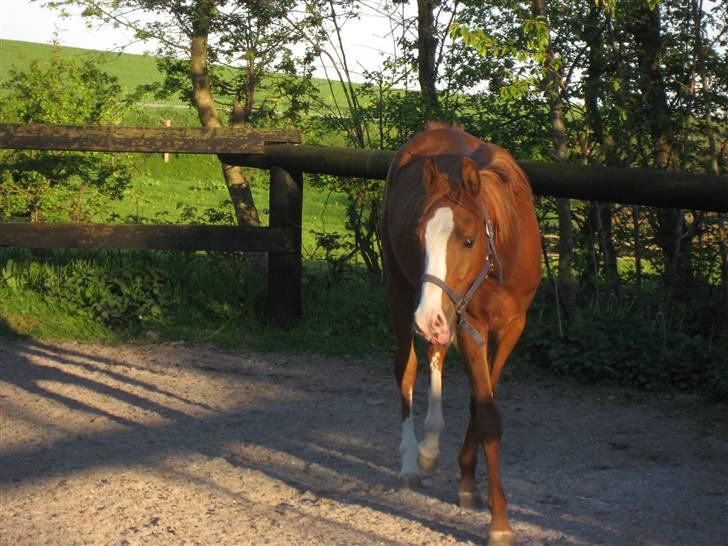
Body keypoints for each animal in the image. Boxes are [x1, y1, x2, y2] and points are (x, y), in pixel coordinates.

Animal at [382, 124, 540, 544]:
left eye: (468, 240)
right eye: (419, 238)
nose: (425, 318)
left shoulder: (511, 327)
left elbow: (479, 401)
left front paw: (468, 480)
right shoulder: (473, 326)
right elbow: (486, 414)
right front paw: (499, 521)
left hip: (444, 313)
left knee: (435, 355)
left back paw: (430, 446)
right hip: (404, 294)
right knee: (407, 368)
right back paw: (410, 463)